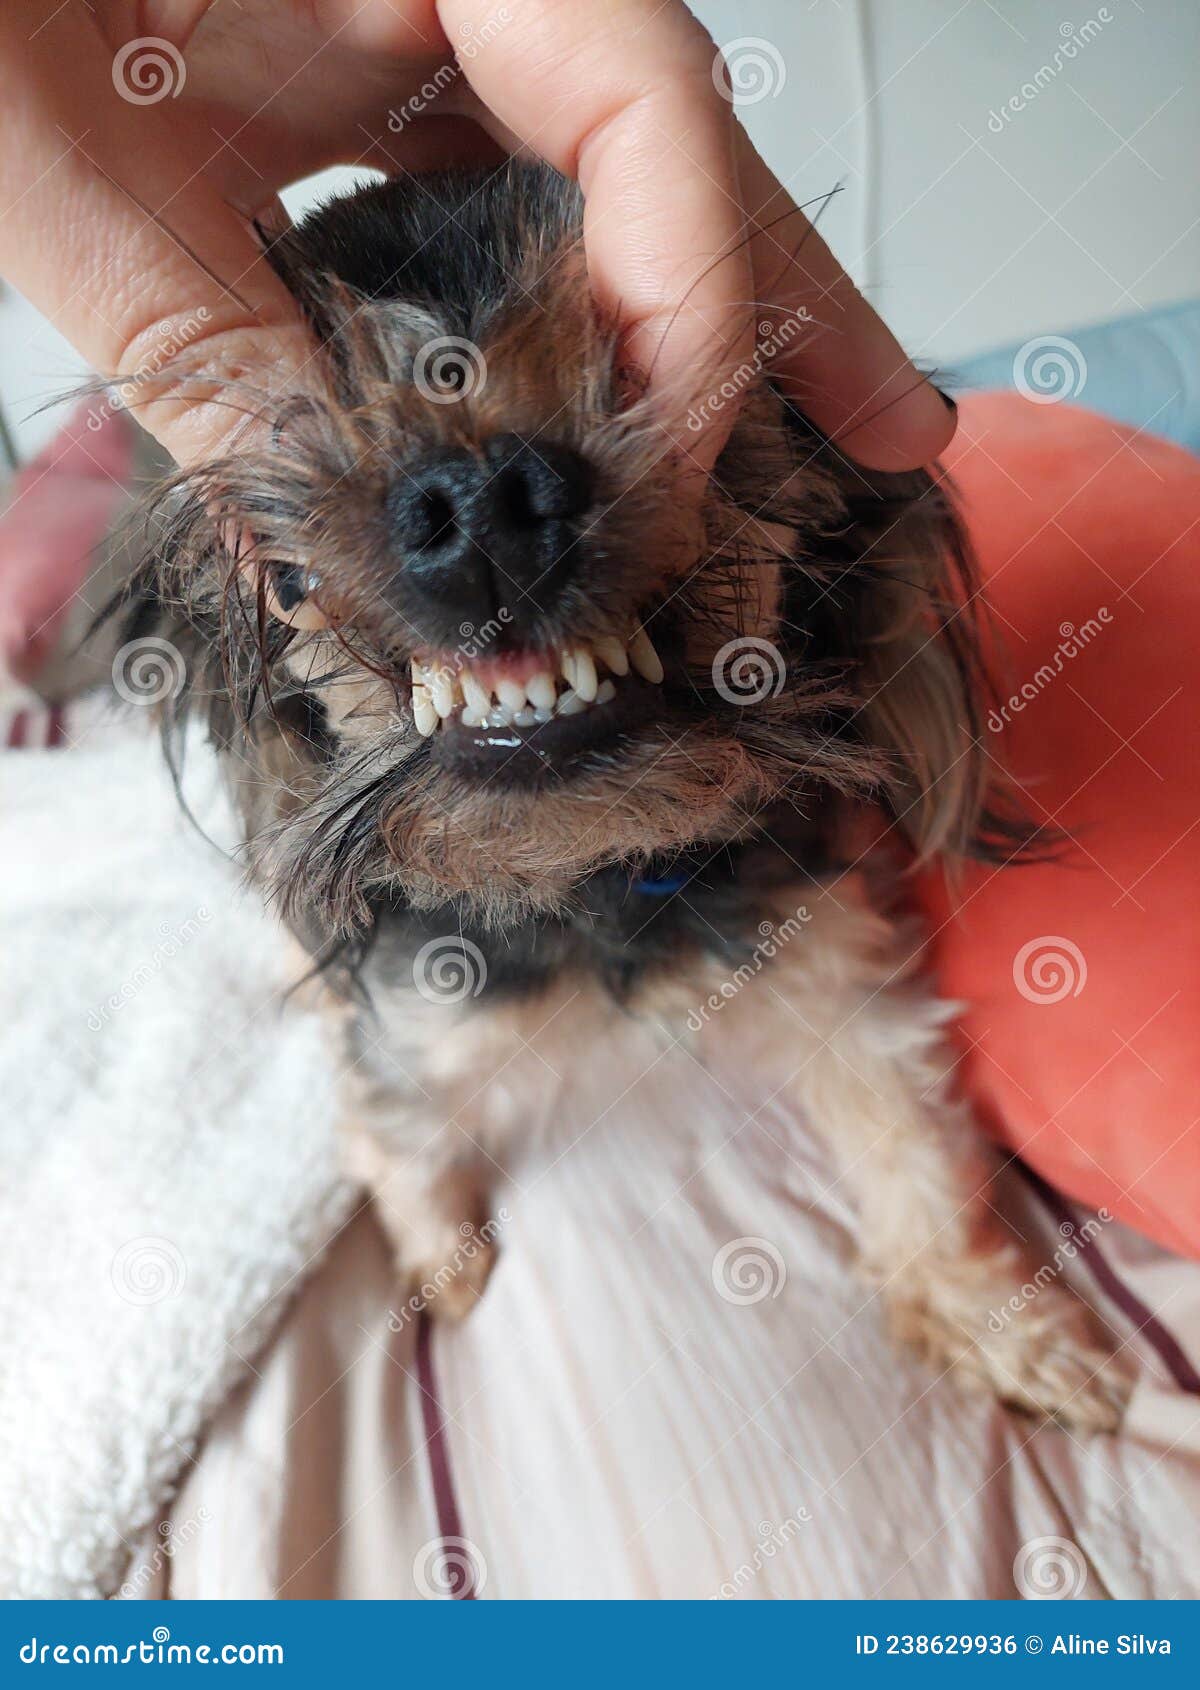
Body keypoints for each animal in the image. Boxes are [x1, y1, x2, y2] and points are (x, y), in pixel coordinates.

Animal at [113, 158, 1129, 1433]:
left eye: (650, 380)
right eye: (324, 403)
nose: (484, 498)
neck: (591, 873)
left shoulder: (819, 946)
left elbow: (909, 1138)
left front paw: (1004, 1326)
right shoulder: (415, 1020)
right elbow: (399, 1141)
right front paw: (444, 1270)